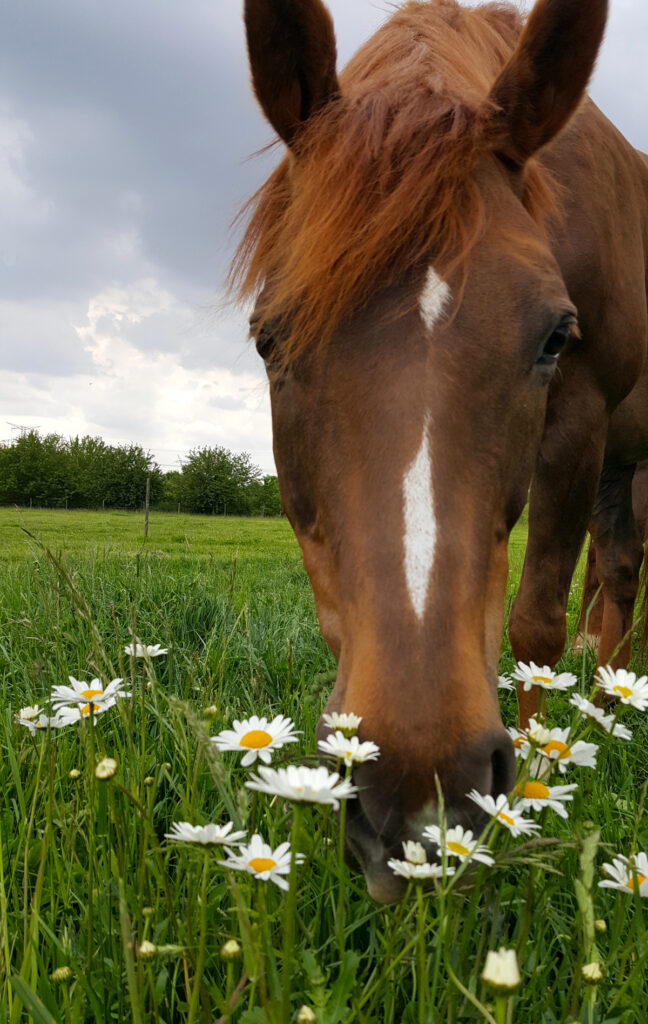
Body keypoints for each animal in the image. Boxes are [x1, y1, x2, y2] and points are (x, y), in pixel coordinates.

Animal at [235, 0, 646, 905]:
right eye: (269, 339)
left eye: (556, 336)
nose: (420, 794)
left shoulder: (583, 418)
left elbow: (535, 626)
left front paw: (534, 793)